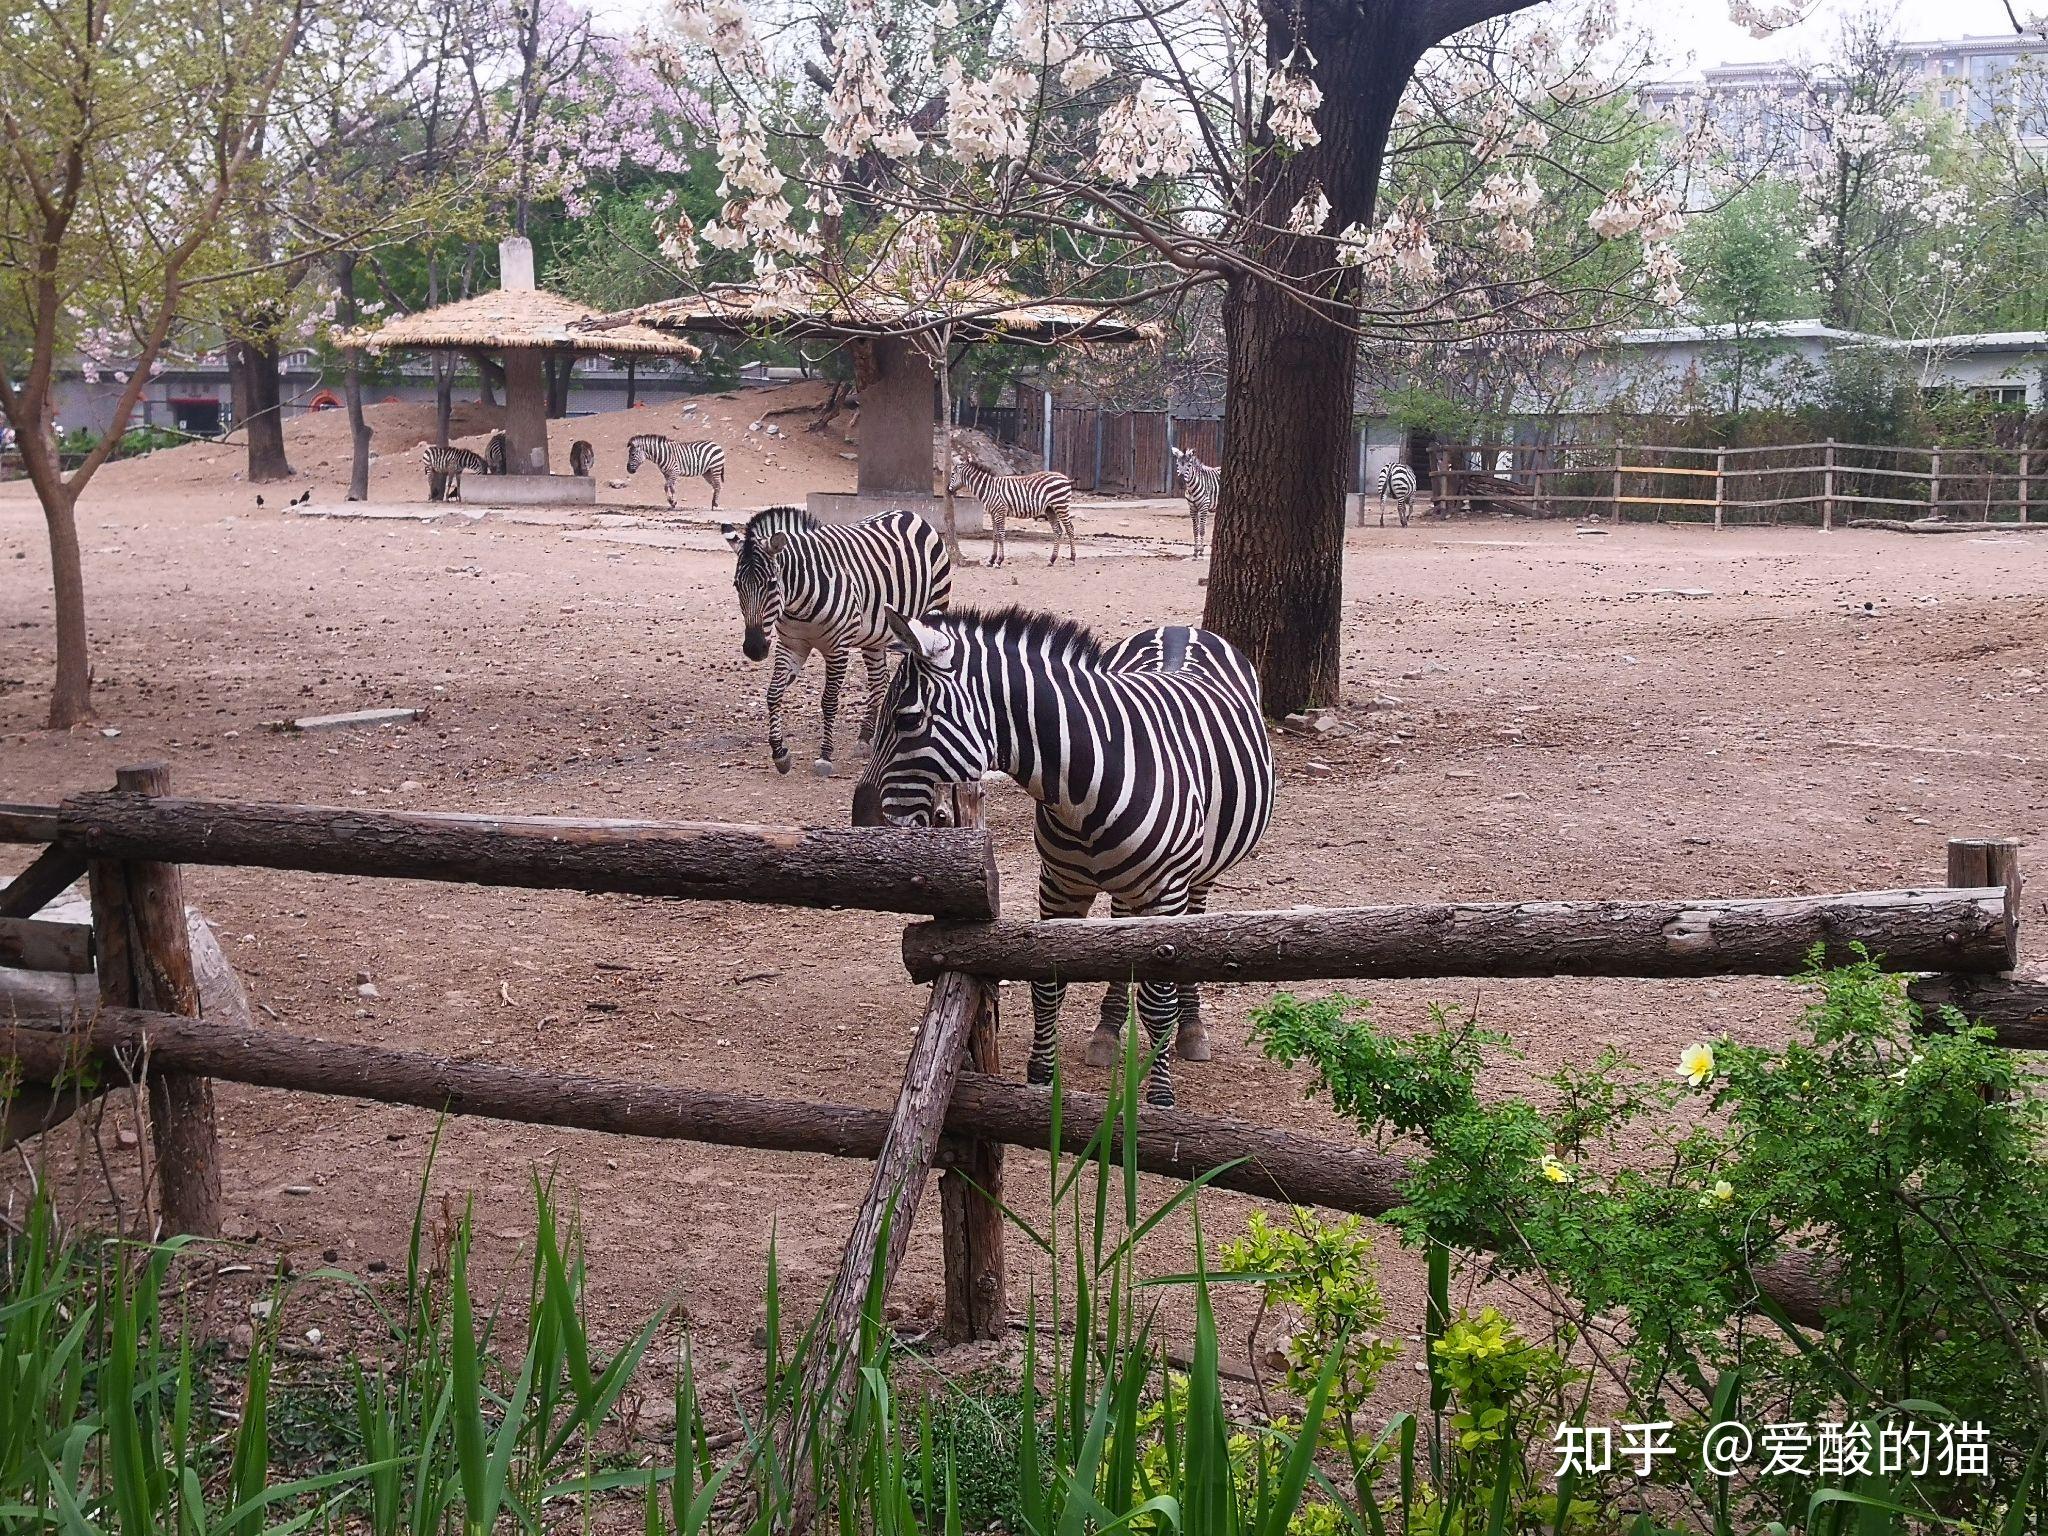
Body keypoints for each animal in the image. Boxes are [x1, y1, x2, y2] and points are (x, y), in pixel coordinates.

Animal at [720, 505, 950, 774]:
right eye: (737, 586)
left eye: (771, 585)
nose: (754, 649)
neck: (798, 603)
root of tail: (910, 513)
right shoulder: (791, 645)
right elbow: (773, 693)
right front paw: (780, 753)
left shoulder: (837, 648)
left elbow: (829, 700)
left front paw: (825, 756)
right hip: (874, 635)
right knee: (879, 680)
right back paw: (865, 738)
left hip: (927, 614)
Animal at [843, 606, 1261, 1114]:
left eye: (906, 720)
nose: (862, 822)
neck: (1086, 788)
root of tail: (1181, 627)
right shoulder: (1058, 885)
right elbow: (1048, 983)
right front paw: (1040, 1081)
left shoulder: (1165, 894)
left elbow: (1158, 1000)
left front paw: (1160, 1097)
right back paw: (1107, 1031)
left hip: (1193, 877)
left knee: (1194, 926)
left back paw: (1191, 1026)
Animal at [946, 460, 1081, 573]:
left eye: (952, 473)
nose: (948, 490)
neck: (989, 489)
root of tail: (1065, 478)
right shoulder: (993, 513)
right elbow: (995, 535)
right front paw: (991, 560)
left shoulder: (1000, 511)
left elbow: (1001, 535)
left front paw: (999, 561)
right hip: (1050, 509)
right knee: (1058, 531)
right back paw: (1052, 560)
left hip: (1061, 505)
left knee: (1070, 529)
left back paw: (1072, 559)